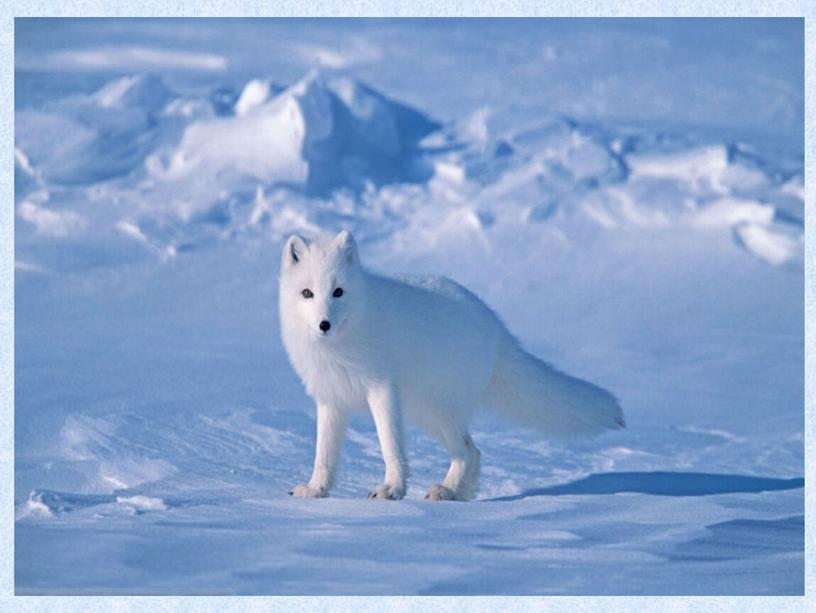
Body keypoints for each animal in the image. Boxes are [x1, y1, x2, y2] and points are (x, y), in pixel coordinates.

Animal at [280, 232, 624, 500]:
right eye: (307, 293)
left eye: (338, 291)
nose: (324, 324)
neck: (340, 345)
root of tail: (497, 327)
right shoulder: (330, 399)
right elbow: (324, 454)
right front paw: (316, 489)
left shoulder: (382, 389)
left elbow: (390, 445)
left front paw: (392, 490)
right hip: (426, 412)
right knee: (473, 451)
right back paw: (458, 493)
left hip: (437, 409)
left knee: (468, 451)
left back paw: (447, 491)